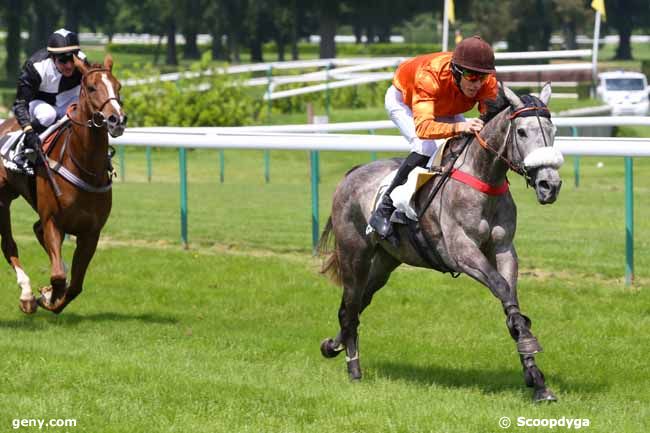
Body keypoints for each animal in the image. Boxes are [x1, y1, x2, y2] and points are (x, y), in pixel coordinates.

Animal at [0, 54, 126, 314]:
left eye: (118, 86)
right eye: (91, 87)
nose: (117, 119)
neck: (85, 167)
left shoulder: (91, 232)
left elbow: (74, 285)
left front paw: (51, 296)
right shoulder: (53, 221)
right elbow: (58, 276)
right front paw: (46, 295)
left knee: (36, 232)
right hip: (2, 200)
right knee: (8, 244)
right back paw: (26, 294)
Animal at [316, 82, 560, 400]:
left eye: (553, 130)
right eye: (521, 132)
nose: (550, 185)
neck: (483, 178)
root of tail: (352, 173)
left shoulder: (504, 249)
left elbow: (511, 298)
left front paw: (537, 379)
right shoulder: (461, 251)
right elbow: (501, 287)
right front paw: (528, 344)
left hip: (385, 260)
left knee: (358, 304)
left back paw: (334, 346)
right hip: (354, 253)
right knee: (350, 306)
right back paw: (353, 369)